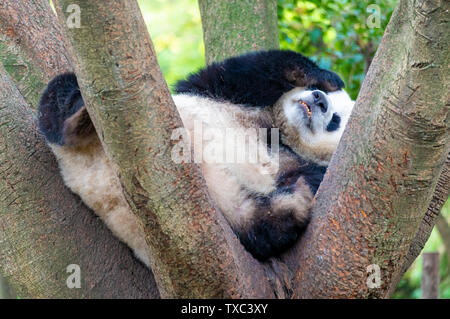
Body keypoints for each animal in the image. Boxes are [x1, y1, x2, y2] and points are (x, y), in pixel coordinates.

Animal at [37, 50, 356, 264]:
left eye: (336, 120)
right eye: (320, 94)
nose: (319, 100)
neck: (277, 130)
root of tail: (95, 183)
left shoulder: (301, 162)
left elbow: (310, 178)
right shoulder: (223, 92)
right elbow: (247, 70)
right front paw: (327, 76)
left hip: (230, 211)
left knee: (258, 227)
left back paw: (294, 203)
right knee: (60, 95)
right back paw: (79, 115)